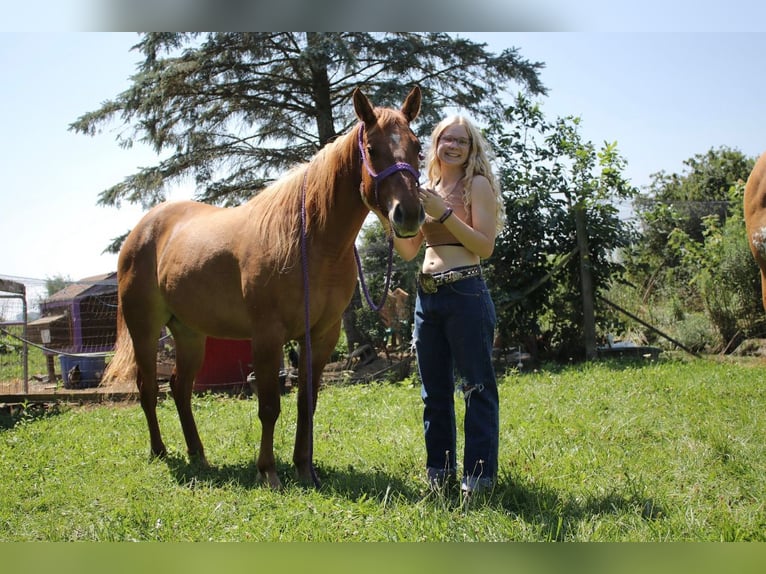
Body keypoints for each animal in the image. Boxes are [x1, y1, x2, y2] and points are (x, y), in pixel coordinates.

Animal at [102, 86, 424, 489]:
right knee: (148, 388)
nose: (409, 215)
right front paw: (268, 471)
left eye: (418, 147)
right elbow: (269, 405)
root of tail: (142, 230)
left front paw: (305, 468)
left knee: (179, 388)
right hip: (144, 329)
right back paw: (160, 452)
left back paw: (198, 454)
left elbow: (306, 402)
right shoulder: (268, 336)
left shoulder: (322, 335)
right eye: (372, 148)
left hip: (189, 333)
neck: (309, 241)